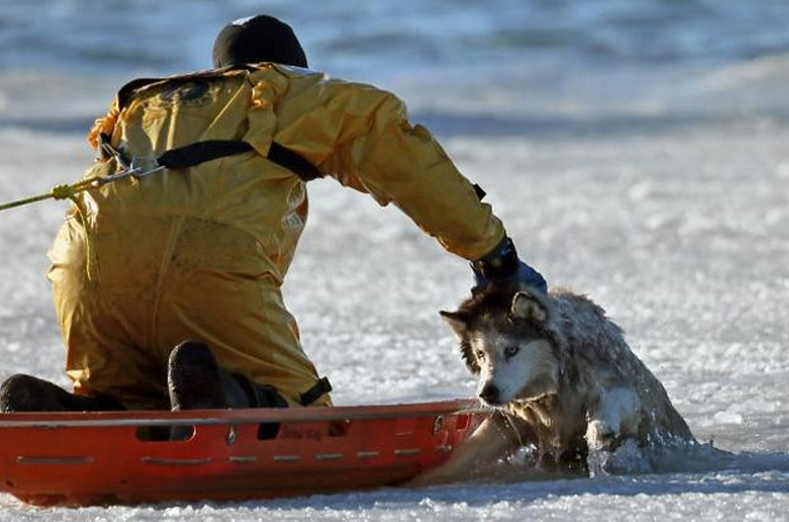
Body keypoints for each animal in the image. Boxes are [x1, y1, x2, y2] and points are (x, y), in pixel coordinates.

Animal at [430, 282, 696, 478]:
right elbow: (466, 453)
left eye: (512, 349)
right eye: (481, 354)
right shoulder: (513, 420)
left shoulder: (623, 387)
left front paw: (600, 434)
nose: (487, 393)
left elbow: (610, 406)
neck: (555, 389)